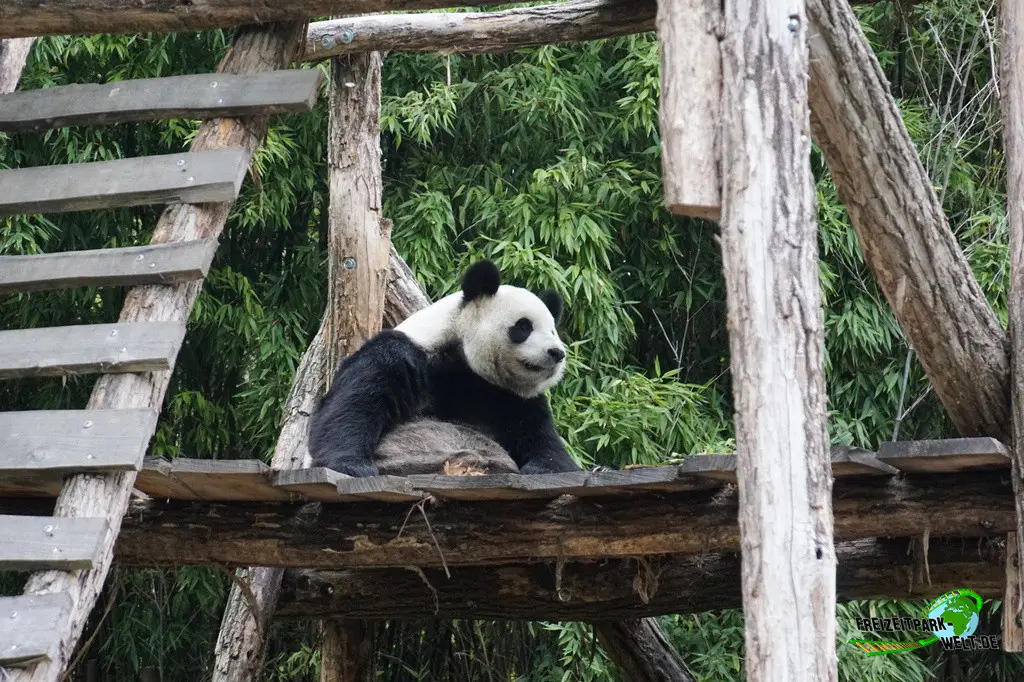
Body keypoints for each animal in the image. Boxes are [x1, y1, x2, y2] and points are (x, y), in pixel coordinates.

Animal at [308, 259, 580, 478]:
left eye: (552, 330)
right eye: (524, 327)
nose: (557, 353)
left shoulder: (511, 397)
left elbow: (541, 437)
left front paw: (547, 467)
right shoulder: (403, 354)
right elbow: (356, 403)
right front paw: (351, 465)